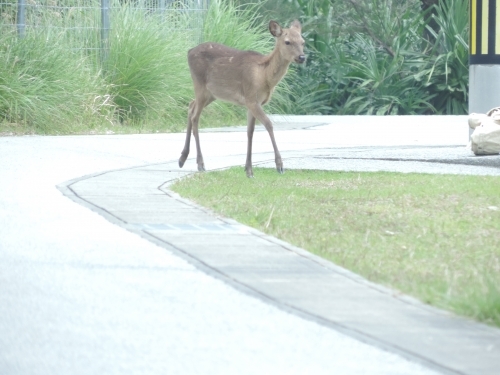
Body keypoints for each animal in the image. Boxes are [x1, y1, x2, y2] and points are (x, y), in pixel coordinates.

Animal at [178, 19, 306, 178]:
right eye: (287, 42)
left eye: (303, 42)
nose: (302, 57)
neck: (264, 76)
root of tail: (189, 51)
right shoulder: (252, 98)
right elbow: (268, 124)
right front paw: (279, 166)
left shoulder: (252, 104)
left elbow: (250, 132)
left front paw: (248, 169)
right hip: (200, 85)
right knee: (195, 116)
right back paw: (200, 164)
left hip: (211, 94)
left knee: (190, 106)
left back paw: (182, 159)